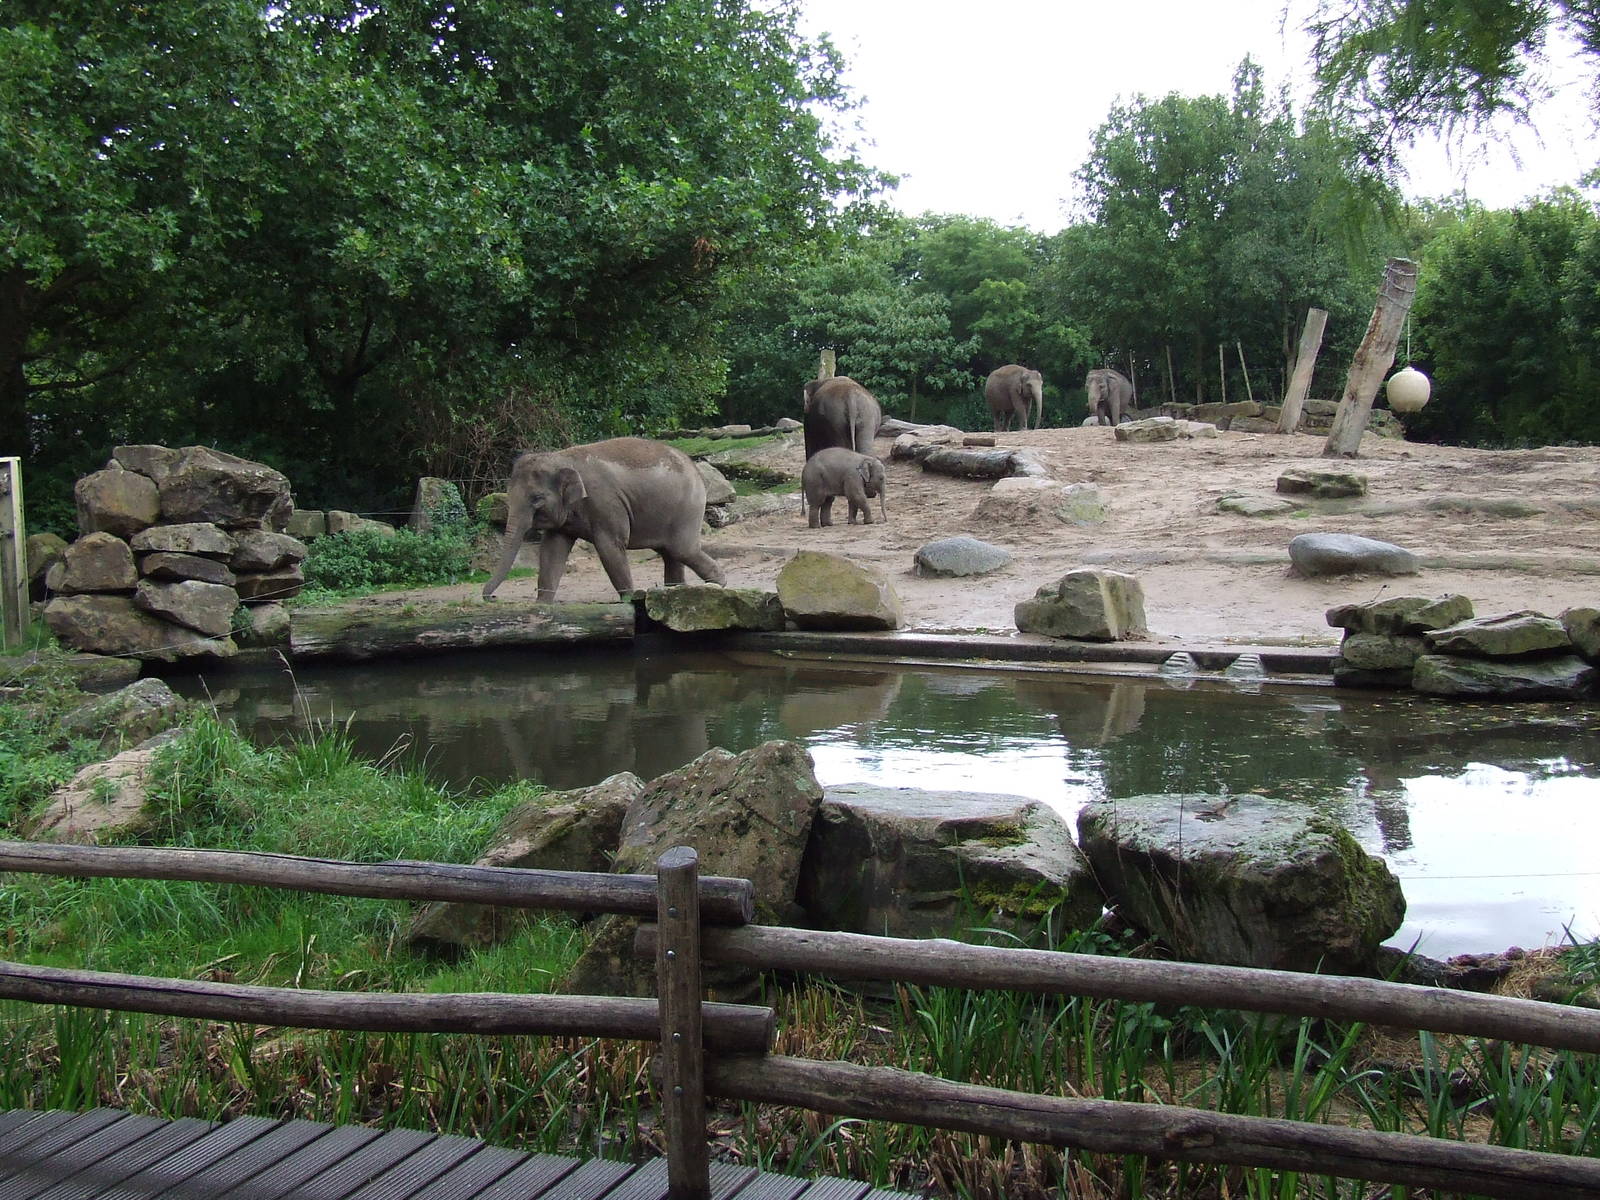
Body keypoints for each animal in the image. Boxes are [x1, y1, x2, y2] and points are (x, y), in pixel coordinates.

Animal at [481, 437, 725, 602]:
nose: (491, 597)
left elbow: (610, 547)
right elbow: (552, 550)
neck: (561, 457)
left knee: (682, 550)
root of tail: (695, 467)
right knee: (671, 553)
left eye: (536, 499)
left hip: (688, 507)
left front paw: (630, 600)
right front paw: (542, 606)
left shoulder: (605, 503)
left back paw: (718, 586)